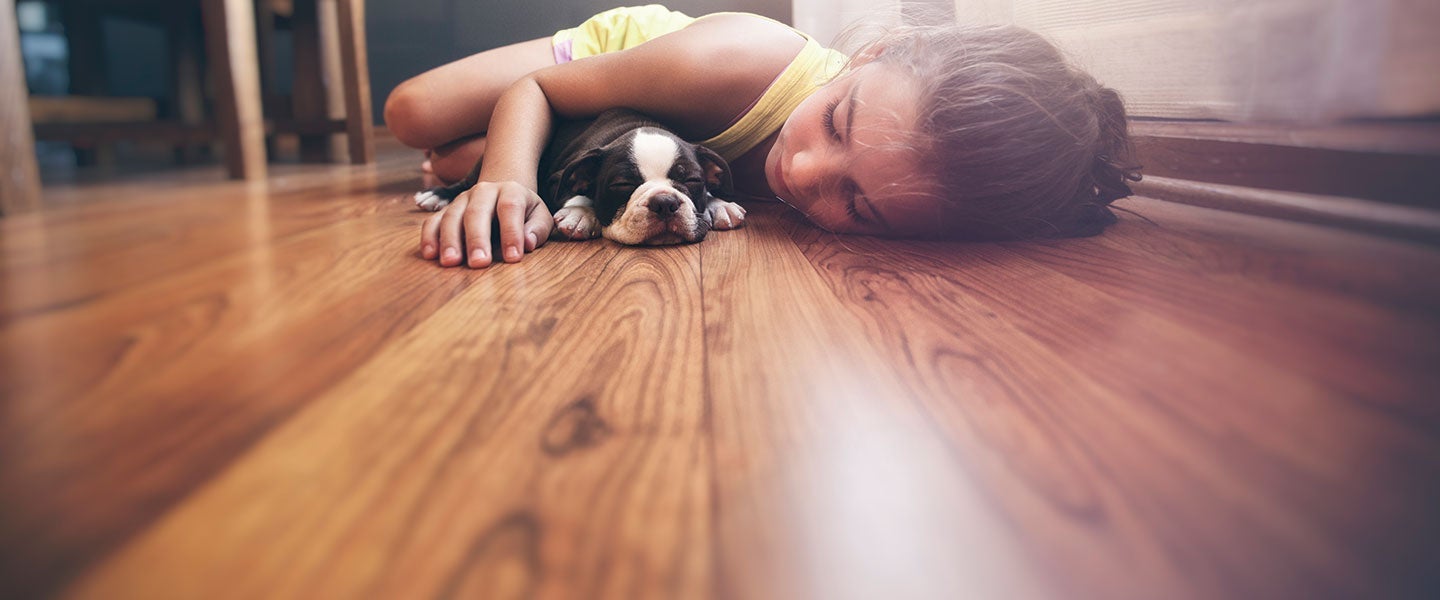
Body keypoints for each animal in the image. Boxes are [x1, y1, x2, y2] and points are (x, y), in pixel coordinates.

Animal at [414, 107, 743, 246]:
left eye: (693, 181)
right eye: (622, 185)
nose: (664, 202)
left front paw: (719, 205)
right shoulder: (563, 173)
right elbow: (574, 189)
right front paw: (581, 214)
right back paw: (437, 194)